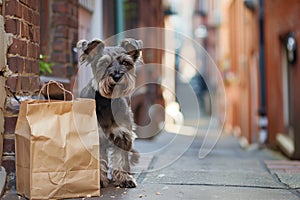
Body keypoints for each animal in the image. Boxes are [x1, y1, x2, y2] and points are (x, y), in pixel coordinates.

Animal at [77, 38, 143, 188]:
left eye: (125, 63)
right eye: (104, 64)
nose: (117, 76)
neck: (108, 102)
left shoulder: (123, 135)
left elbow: (121, 158)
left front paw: (124, 178)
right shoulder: (94, 138)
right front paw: (99, 180)